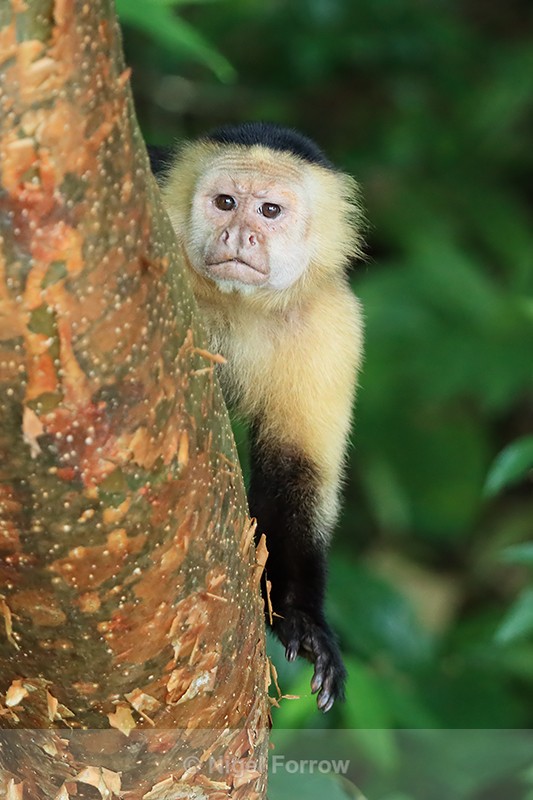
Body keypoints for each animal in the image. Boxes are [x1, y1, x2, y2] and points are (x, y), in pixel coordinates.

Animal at [155, 122, 364, 712]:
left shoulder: (333, 325)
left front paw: (301, 619)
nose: (238, 235)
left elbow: (295, 471)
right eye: (225, 202)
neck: (237, 303)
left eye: (269, 211)